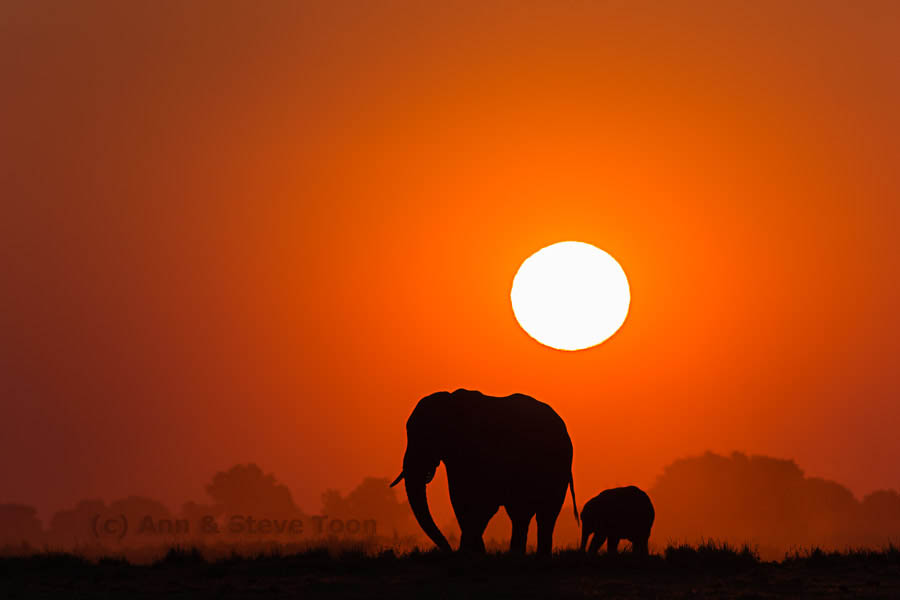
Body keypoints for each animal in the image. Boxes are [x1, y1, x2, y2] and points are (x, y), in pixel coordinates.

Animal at [391, 389, 578, 555]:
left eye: (428, 435)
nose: (449, 550)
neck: (450, 402)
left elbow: (484, 503)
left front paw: (469, 551)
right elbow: (460, 499)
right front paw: (472, 552)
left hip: (558, 466)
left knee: (543, 514)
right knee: (522, 515)